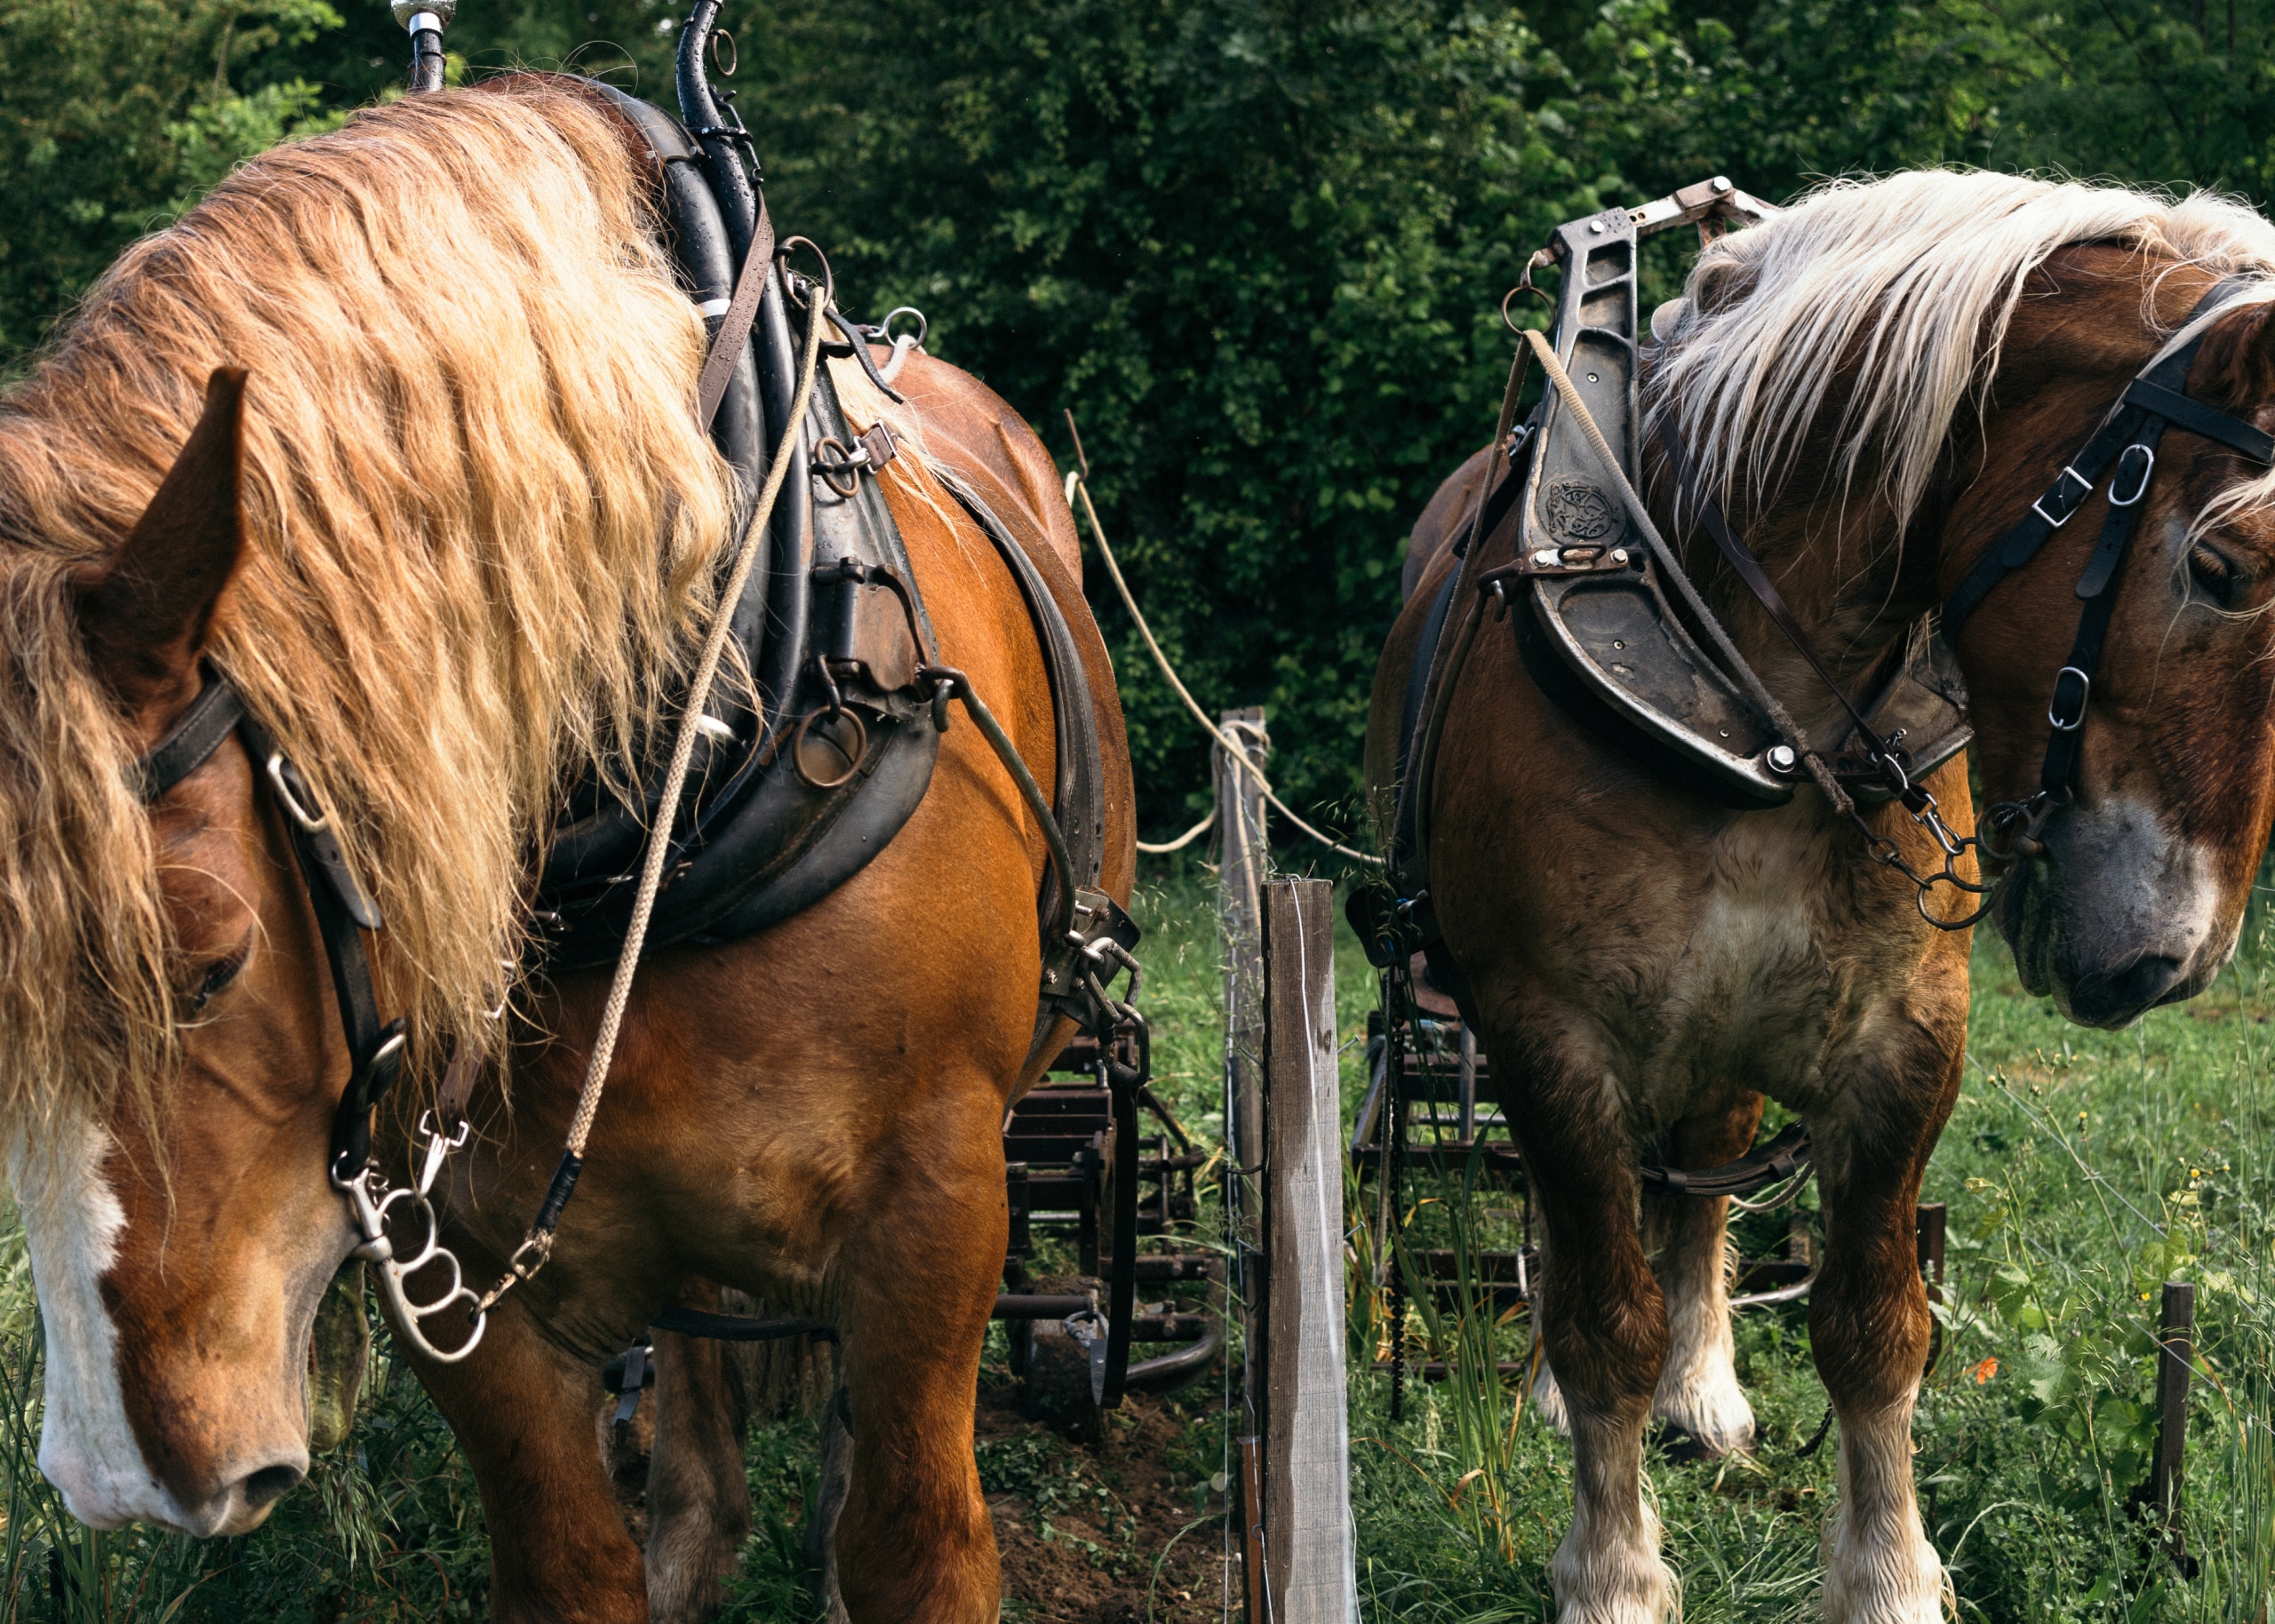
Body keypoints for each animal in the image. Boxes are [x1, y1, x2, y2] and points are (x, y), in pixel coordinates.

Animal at [0, 76, 1130, 1623]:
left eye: (214, 967)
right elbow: (573, 1559)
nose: (114, 1478)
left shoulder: (938, 1211)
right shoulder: (473, 1279)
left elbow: (913, 1545)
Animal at [1370, 171, 2275, 1622]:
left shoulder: (1902, 1040)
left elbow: (1872, 1324)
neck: (1757, 703)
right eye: (2221, 567)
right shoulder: (1545, 1031)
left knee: (1701, 1174)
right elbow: (1598, 1313)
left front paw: (1887, 1576)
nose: (2171, 962)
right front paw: (1612, 1573)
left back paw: (1701, 1388)